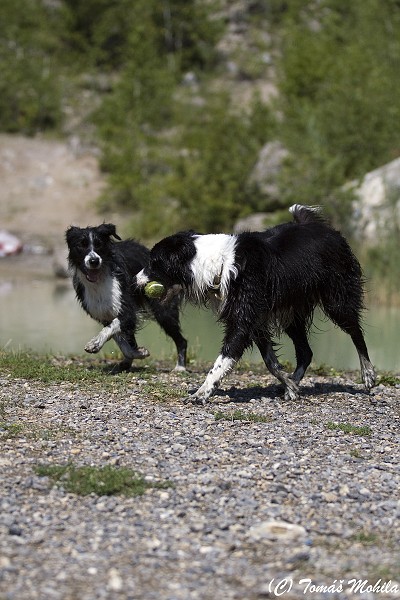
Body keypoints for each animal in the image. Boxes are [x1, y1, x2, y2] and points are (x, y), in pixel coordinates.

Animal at [66, 221, 188, 370]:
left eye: (99, 244)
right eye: (81, 245)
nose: (94, 261)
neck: (100, 280)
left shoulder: (128, 310)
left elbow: (112, 327)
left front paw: (95, 343)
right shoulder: (103, 313)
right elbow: (121, 340)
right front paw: (138, 353)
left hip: (163, 311)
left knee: (181, 340)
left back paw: (180, 367)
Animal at [136, 204, 376, 406]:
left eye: (153, 263)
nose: (135, 279)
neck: (217, 265)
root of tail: (325, 228)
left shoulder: (243, 319)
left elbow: (222, 361)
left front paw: (201, 393)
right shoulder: (257, 321)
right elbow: (271, 362)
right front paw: (290, 386)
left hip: (337, 298)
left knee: (356, 332)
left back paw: (368, 375)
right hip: (291, 313)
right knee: (306, 352)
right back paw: (293, 384)